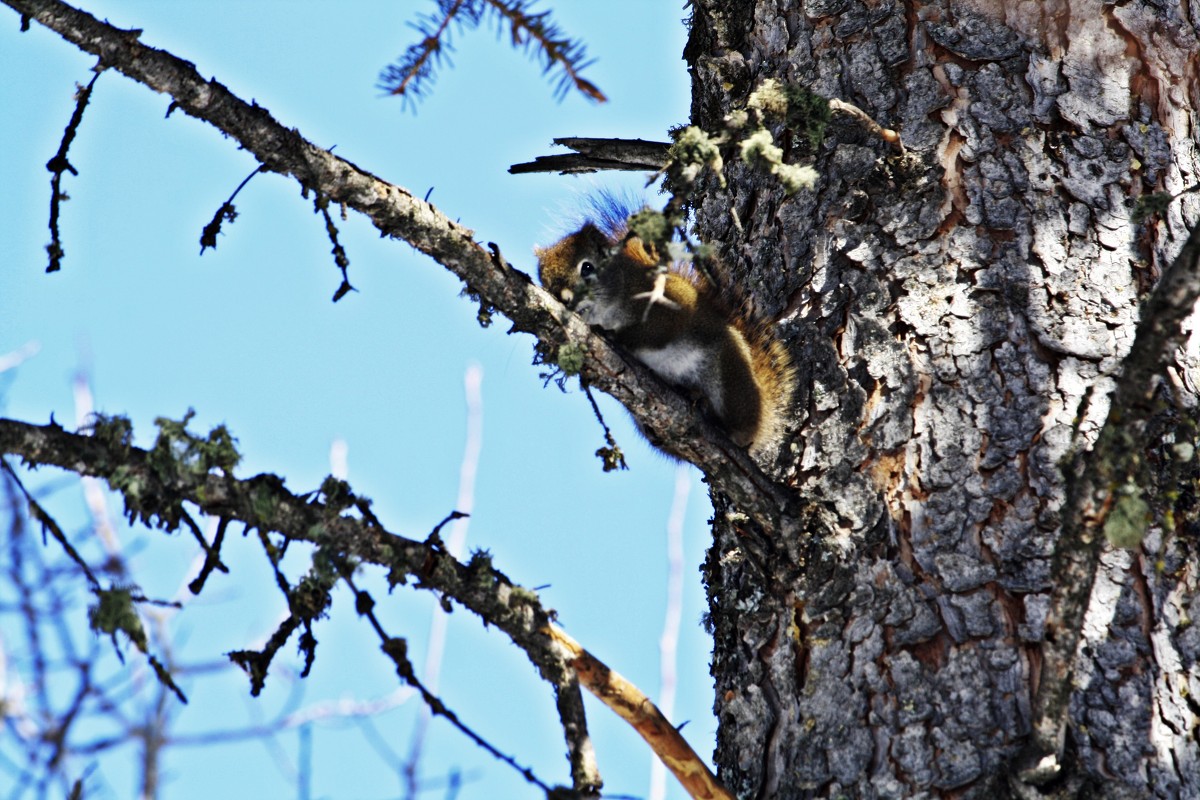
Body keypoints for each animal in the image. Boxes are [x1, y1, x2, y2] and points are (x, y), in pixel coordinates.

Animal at [537, 220, 796, 455]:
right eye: (547, 284)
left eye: (587, 267)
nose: (566, 298)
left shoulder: (671, 309)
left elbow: (654, 332)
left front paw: (617, 335)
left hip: (729, 371)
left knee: (737, 427)